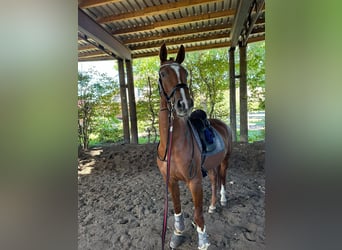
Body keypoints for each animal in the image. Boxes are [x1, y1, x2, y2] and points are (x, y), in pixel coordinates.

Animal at [157, 44, 232, 249]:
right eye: (163, 73)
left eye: (185, 73)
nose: (184, 103)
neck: (173, 144)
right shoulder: (171, 180)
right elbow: (177, 209)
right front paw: (177, 234)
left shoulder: (194, 181)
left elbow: (198, 214)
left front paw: (203, 241)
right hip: (211, 165)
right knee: (214, 181)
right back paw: (213, 205)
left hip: (225, 160)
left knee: (222, 179)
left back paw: (223, 200)